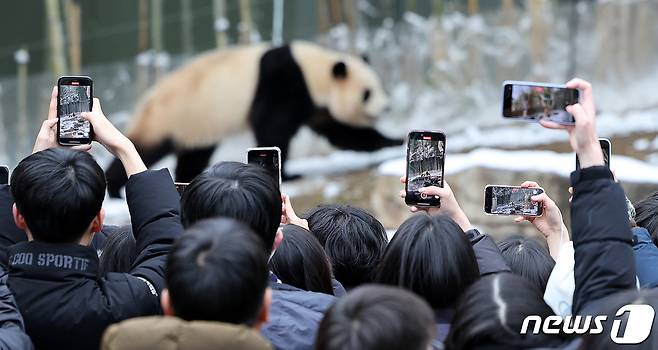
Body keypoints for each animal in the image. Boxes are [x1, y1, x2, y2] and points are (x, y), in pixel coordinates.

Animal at [105, 41, 402, 197]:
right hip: (171, 116)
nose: (387, 107)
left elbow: (341, 132)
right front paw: (288, 173)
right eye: (367, 93)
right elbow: (273, 125)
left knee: (195, 153)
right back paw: (116, 188)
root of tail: (145, 100)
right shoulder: (284, 81)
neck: (315, 69)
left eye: (381, 87)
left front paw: (394, 141)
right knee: (143, 147)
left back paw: (189, 177)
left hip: (198, 126)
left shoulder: (316, 104)